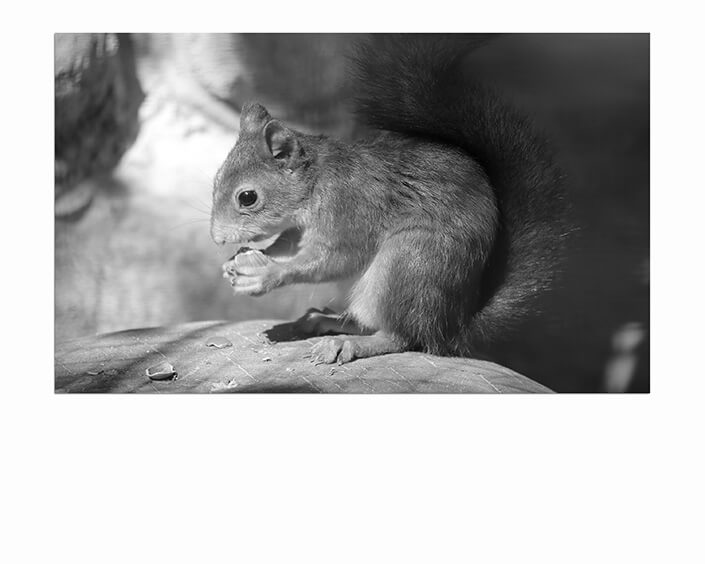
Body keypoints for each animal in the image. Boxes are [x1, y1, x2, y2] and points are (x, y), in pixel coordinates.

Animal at [210, 34, 567, 365]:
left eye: (247, 197)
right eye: (216, 180)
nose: (217, 239)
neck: (316, 184)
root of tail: (452, 326)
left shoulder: (350, 209)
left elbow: (332, 259)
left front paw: (264, 275)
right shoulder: (298, 230)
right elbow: (287, 249)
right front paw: (238, 261)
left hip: (408, 262)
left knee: (403, 336)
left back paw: (349, 343)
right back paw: (326, 320)